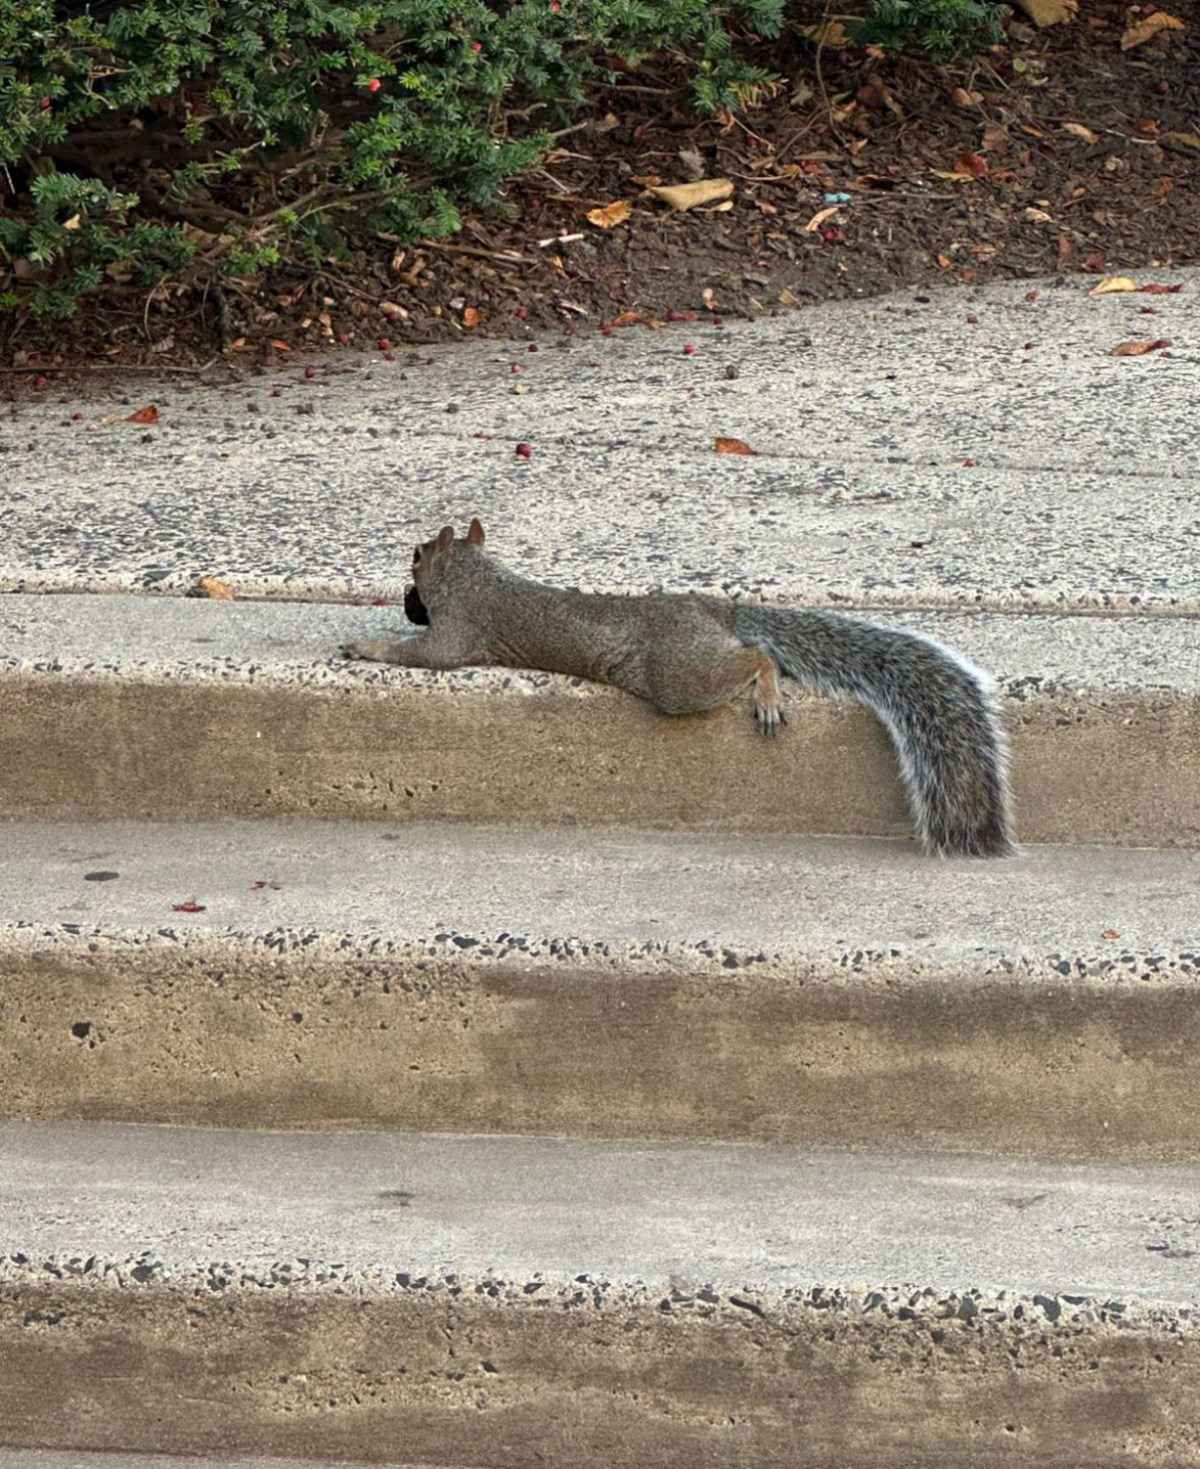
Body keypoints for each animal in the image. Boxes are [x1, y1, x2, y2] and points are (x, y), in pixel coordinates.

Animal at [342, 519, 1015, 858]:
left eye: (415, 556)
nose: (406, 600)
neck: (478, 578)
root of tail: (711, 612)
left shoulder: (459, 635)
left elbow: (425, 654)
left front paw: (365, 645)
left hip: (677, 676)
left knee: (754, 657)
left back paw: (766, 691)